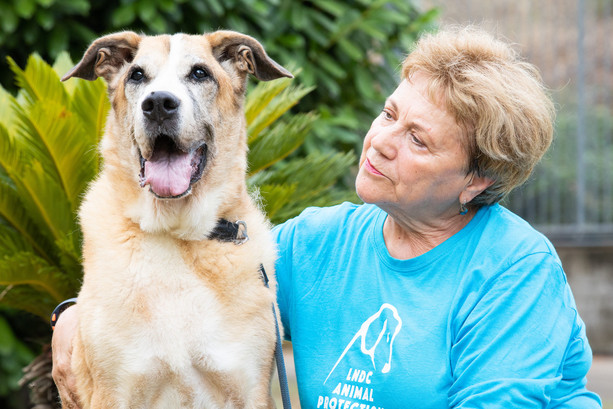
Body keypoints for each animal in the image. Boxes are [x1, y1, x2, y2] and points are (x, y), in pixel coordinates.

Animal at [61, 30, 290, 406]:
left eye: (199, 73)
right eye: (137, 75)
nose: (157, 104)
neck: (177, 234)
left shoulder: (250, 389)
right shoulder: (114, 391)